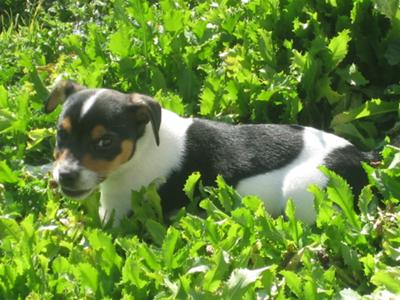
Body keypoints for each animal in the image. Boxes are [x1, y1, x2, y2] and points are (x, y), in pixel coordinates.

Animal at [45, 81, 370, 224]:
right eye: (61, 134)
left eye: (105, 142)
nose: (66, 176)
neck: (144, 145)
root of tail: (363, 157)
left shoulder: (117, 212)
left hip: (303, 191)